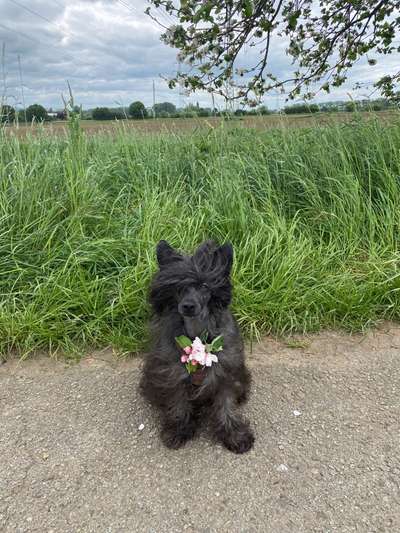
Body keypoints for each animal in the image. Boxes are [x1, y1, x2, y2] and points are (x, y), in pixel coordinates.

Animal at [139, 240, 255, 454]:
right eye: (178, 287)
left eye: (204, 285)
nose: (188, 306)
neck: (197, 334)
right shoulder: (173, 375)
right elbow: (178, 403)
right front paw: (179, 429)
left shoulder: (225, 373)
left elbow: (225, 405)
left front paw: (233, 435)